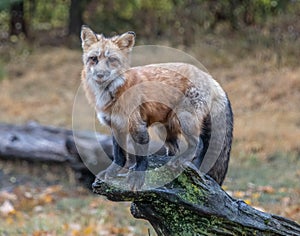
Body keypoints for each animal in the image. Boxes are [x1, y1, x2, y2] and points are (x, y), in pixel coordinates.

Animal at [81, 25, 233, 190]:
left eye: (111, 60)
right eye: (94, 59)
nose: (100, 75)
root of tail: (210, 78)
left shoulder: (137, 125)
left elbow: (141, 157)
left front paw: (137, 177)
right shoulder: (116, 125)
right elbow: (119, 155)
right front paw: (112, 172)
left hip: (184, 119)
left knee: (198, 144)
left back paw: (189, 165)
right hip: (163, 128)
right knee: (175, 148)